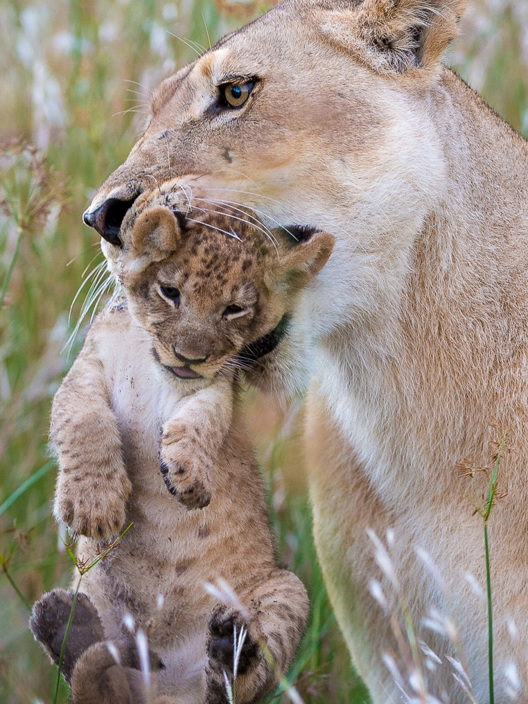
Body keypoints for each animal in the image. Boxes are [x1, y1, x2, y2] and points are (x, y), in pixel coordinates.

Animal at [30, 195, 335, 703]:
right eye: (170, 292)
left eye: (234, 309)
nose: (190, 356)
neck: (146, 355)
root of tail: (162, 691)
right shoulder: (87, 371)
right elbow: (83, 419)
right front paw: (92, 506)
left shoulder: (211, 389)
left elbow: (201, 422)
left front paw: (188, 478)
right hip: (91, 588)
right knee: (92, 673)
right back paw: (60, 621)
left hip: (286, 587)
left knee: (229, 688)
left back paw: (233, 647)